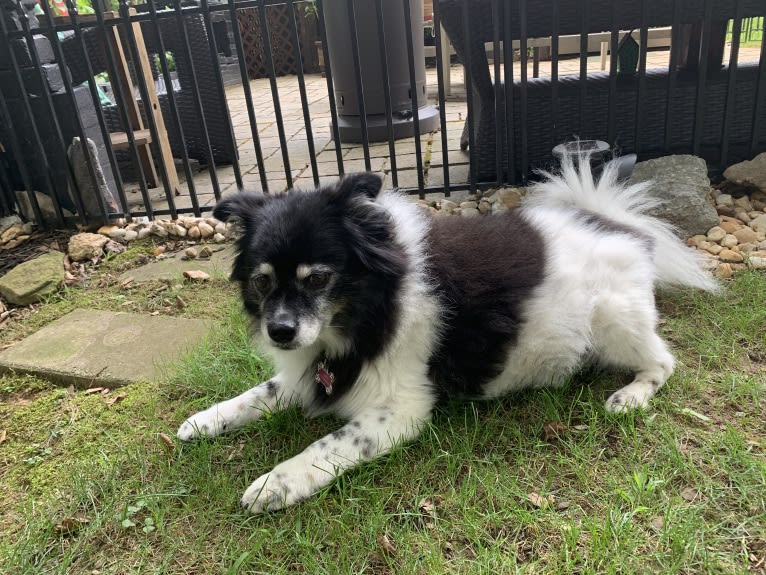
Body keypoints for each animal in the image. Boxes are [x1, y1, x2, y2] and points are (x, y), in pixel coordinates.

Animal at [180, 161, 720, 512]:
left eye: (317, 279)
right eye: (262, 281)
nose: (280, 331)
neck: (371, 308)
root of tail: (620, 225)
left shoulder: (399, 410)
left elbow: (328, 446)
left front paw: (276, 483)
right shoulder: (311, 372)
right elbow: (259, 394)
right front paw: (205, 421)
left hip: (614, 321)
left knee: (664, 361)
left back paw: (630, 395)